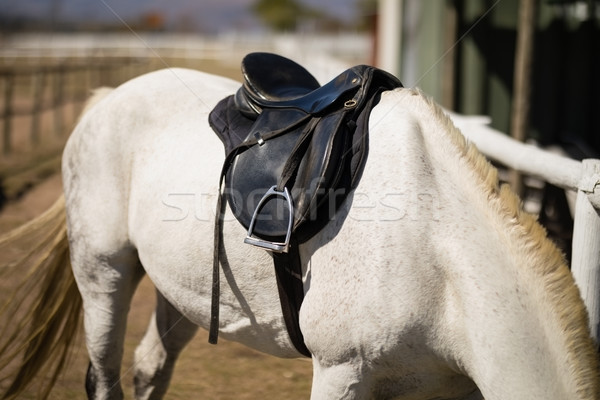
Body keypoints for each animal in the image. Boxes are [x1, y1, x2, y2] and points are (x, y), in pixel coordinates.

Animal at [0, 67, 596, 398]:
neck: (441, 262)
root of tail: (108, 97)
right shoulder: (341, 371)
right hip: (104, 272)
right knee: (104, 377)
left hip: (182, 288)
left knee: (150, 369)